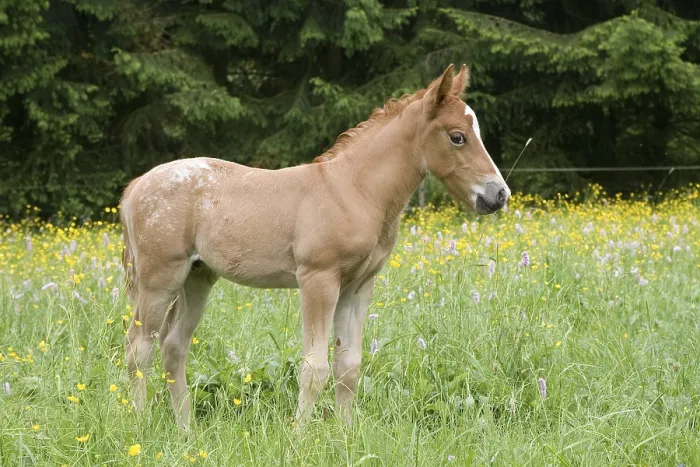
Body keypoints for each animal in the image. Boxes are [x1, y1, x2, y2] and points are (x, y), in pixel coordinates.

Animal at [118, 64, 511, 431]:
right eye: (457, 136)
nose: (498, 195)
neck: (354, 190)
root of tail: (138, 184)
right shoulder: (318, 281)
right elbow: (314, 367)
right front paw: (298, 437)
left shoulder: (357, 287)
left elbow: (348, 366)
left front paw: (345, 435)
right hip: (160, 279)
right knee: (139, 348)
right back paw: (140, 423)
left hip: (197, 278)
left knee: (173, 347)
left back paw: (186, 429)